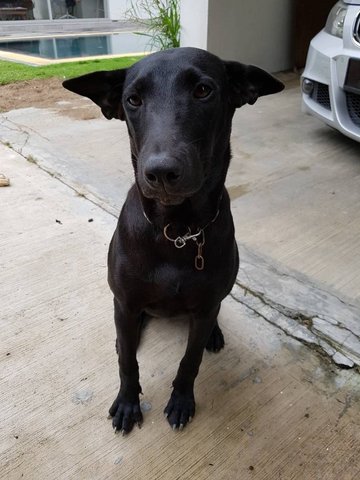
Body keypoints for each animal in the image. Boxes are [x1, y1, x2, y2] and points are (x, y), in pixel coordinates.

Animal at [64, 47, 284, 436]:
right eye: (133, 99)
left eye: (203, 90)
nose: (161, 172)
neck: (177, 230)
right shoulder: (125, 302)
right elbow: (128, 362)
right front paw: (128, 403)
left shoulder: (205, 306)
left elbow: (190, 360)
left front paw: (181, 401)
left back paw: (214, 334)